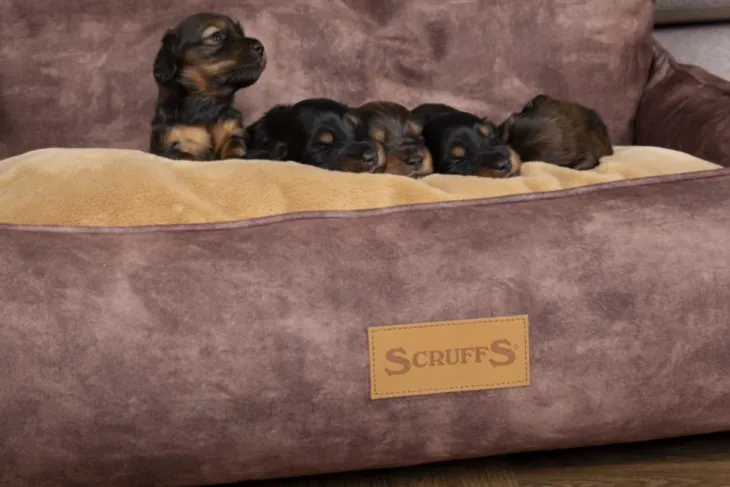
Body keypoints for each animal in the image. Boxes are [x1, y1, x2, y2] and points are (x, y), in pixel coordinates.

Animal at [149, 12, 267, 161]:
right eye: (217, 36)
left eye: (240, 33)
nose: (260, 47)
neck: (207, 102)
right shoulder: (173, 146)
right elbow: (191, 157)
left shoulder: (233, 131)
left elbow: (234, 150)